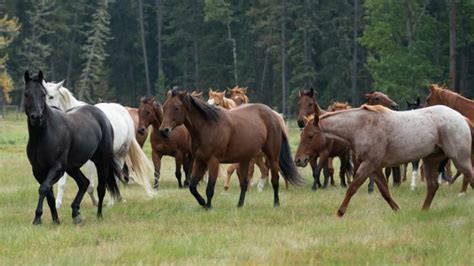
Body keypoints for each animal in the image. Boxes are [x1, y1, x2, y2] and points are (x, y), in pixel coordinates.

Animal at [24, 70, 122, 224]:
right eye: (26, 94)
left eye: (43, 94)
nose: (37, 117)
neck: (44, 135)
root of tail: (100, 114)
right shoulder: (38, 170)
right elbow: (49, 194)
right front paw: (56, 220)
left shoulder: (57, 167)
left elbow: (43, 188)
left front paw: (37, 218)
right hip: (72, 167)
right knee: (84, 183)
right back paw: (76, 213)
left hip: (101, 161)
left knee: (100, 188)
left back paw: (99, 215)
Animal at [159, 90, 304, 209]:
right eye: (164, 107)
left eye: (176, 108)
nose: (163, 130)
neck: (207, 126)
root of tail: (275, 117)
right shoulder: (200, 161)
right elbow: (192, 187)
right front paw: (202, 203)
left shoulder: (213, 161)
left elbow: (210, 188)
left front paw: (208, 206)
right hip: (245, 159)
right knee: (244, 183)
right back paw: (239, 205)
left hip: (272, 157)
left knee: (274, 179)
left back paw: (276, 204)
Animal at [318, 104, 474, 216]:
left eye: (312, 135)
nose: (304, 158)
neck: (361, 126)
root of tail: (462, 118)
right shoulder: (374, 167)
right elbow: (384, 191)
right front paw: (398, 209)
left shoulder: (368, 165)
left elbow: (352, 187)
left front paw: (340, 212)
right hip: (430, 160)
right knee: (433, 186)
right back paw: (423, 211)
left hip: (460, 159)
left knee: (469, 177)